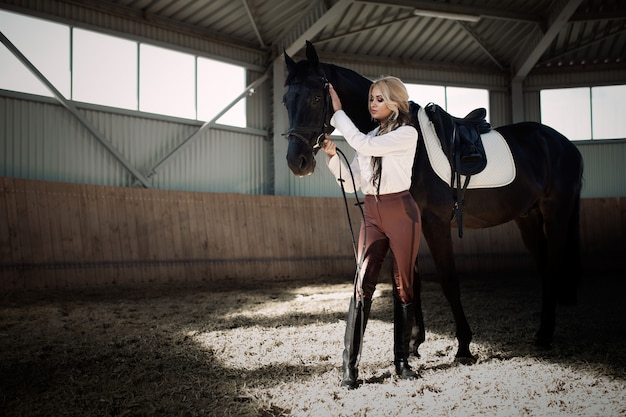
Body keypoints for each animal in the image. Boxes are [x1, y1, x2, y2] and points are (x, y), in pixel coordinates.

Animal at [280, 40, 584, 358]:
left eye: (316, 97)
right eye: (286, 101)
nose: (297, 161)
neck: (413, 151)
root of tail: (563, 144)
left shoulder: (435, 224)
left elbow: (448, 280)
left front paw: (463, 345)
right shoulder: (408, 224)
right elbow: (410, 281)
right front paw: (414, 343)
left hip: (555, 214)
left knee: (553, 265)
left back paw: (546, 335)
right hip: (528, 217)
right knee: (544, 267)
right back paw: (542, 334)